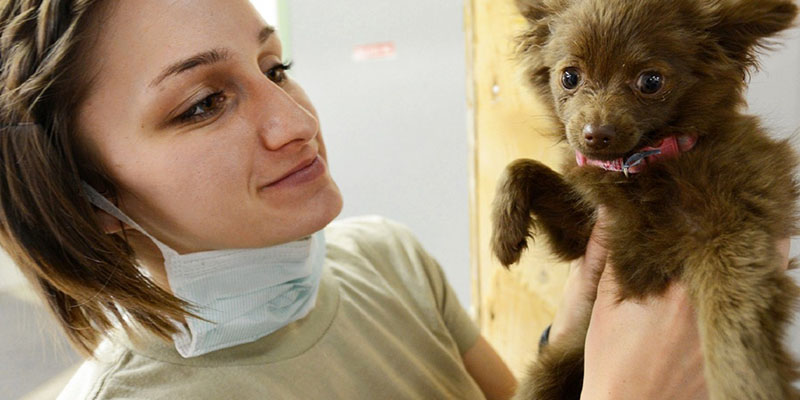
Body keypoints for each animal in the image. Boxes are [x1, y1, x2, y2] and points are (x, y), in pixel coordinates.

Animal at [490, 0, 800, 398]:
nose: (596, 134)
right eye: (570, 77)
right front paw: (504, 234)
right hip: (556, 364)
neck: (641, 168)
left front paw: (746, 383)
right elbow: (521, 166)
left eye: (650, 82)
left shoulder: (737, 229)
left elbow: (732, 313)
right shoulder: (582, 235)